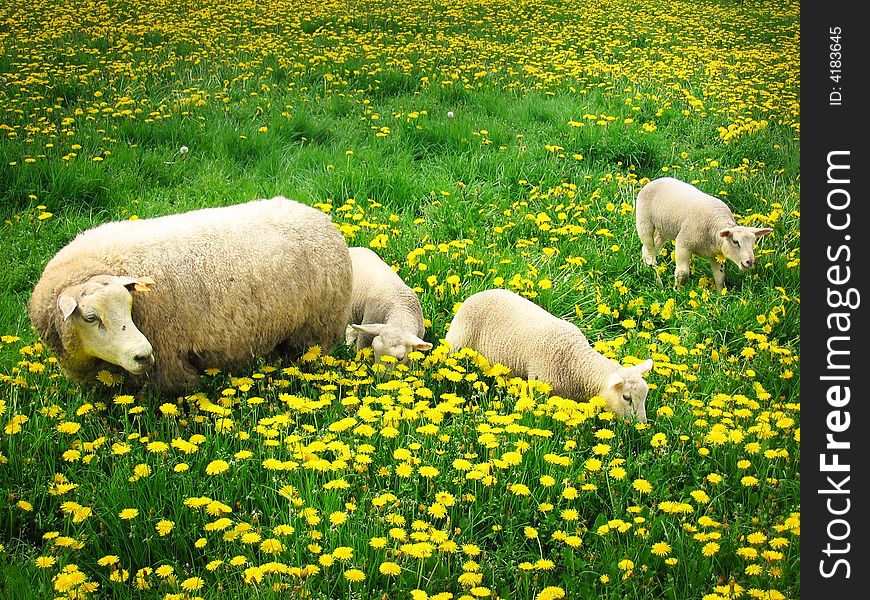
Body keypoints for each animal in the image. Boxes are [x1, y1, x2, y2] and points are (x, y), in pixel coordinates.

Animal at [28, 197, 354, 396]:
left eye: (131, 306)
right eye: (90, 317)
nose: (142, 355)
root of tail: (318, 216)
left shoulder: (168, 362)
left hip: (315, 330)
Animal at [450, 290, 656, 422]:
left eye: (645, 397)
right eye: (626, 398)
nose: (641, 425)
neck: (576, 362)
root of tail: (476, 295)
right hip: (457, 341)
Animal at [636, 176, 772, 290]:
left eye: (753, 243)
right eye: (735, 242)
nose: (750, 262)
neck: (715, 227)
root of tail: (655, 180)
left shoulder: (715, 255)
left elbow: (720, 278)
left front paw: (720, 297)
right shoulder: (683, 243)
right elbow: (682, 274)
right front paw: (677, 292)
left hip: (662, 229)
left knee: (650, 250)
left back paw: (647, 270)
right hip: (644, 223)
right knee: (649, 253)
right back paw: (658, 282)